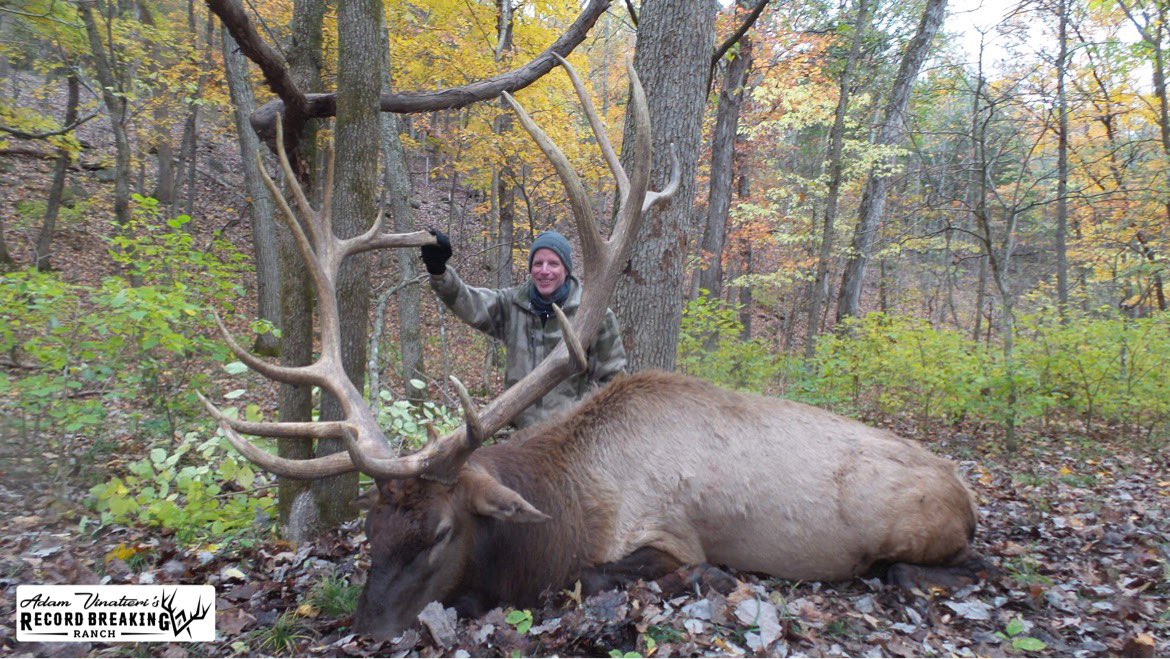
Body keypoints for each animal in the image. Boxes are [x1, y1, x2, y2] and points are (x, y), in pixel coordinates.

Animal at [199, 57, 979, 640]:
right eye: (371, 525)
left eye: (440, 532)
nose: (365, 631)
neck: (566, 509)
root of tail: (966, 491)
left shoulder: (668, 534)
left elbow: (607, 574)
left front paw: (716, 577)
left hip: (916, 528)